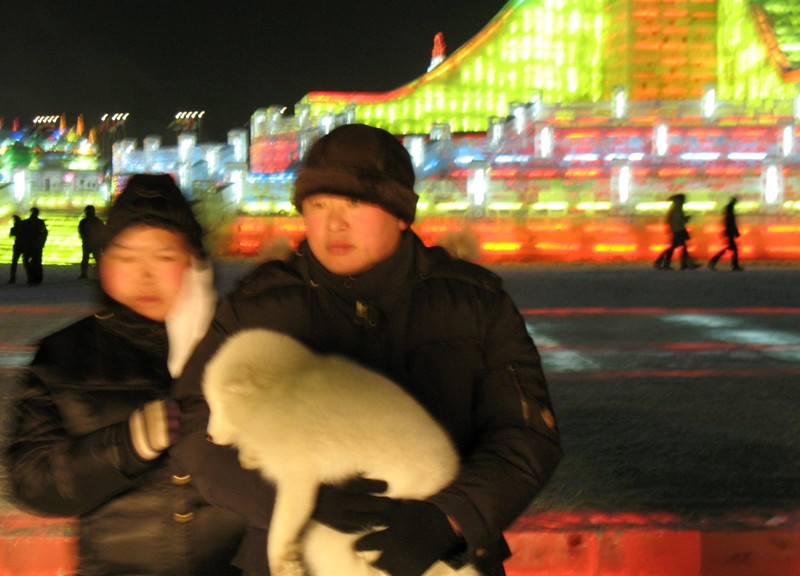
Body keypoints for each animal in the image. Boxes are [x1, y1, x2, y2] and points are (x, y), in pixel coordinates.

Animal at [202, 328, 476, 576]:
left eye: (217, 405)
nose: (208, 437)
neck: (281, 389)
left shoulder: (299, 478)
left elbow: (281, 525)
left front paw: (282, 564)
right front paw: (250, 455)